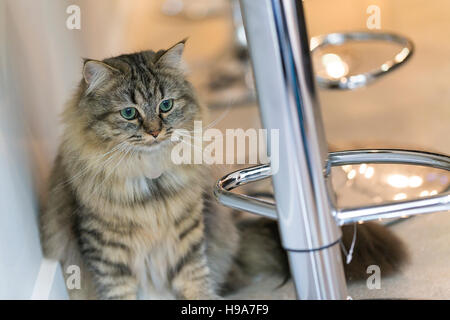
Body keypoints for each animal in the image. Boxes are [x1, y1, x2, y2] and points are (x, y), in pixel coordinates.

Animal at [39, 40, 408, 300]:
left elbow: (196, 283)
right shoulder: (108, 254)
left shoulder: (188, 236)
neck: (152, 181)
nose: (155, 131)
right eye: (129, 113)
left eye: (166, 105)